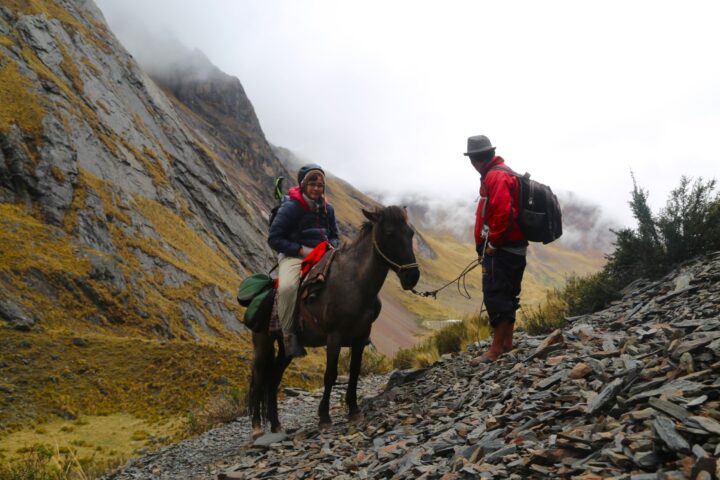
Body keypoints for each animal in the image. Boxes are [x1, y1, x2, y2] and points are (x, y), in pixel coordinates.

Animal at [250, 204, 422, 436]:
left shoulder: (361, 337)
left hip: (287, 349)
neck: (354, 283)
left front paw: (354, 410)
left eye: (411, 233)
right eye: (389, 233)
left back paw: (276, 425)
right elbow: (330, 375)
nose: (412, 276)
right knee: (259, 377)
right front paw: (324, 417)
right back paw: (257, 427)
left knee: (273, 379)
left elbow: (355, 371)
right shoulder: (334, 337)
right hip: (263, 343)